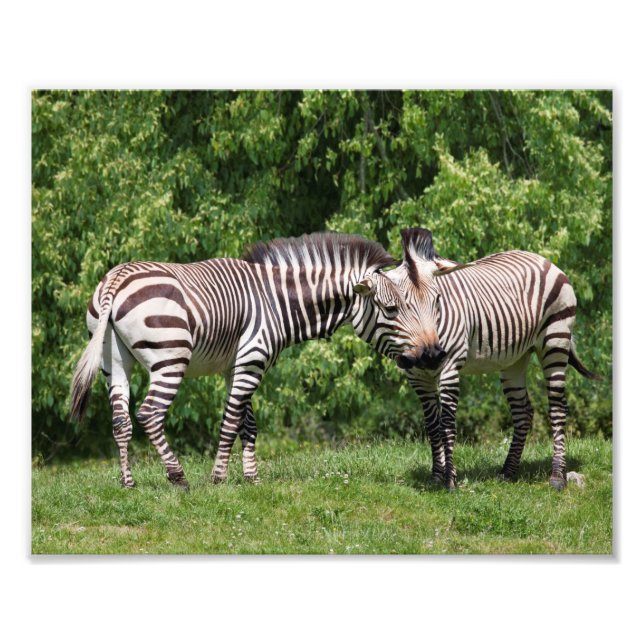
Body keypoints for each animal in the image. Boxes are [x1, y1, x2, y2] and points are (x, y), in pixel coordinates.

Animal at [70, 232, 438, 489]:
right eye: (392, 309)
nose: (430, 354)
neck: (278, 300)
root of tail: (116, 279)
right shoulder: (252, 359)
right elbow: (231, 420)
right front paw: (218, 478)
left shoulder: (238, 364)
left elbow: (248, 423)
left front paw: (251, 478)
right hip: (170, 358)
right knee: (149, 414)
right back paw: (178, 477)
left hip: (114, 362)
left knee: (121, 420)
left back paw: (128, 482)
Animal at [387, 227, 600, 490]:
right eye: (398, 307)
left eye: (437, 300)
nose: (430, 356)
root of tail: (543, 260)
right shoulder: (417, 376)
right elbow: (432, 424)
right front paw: (436, 477)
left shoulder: (450, 365)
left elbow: (446, 423)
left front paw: (449, 480)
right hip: (515, 359)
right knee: (523, 411)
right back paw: (508, 472)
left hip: (555, 339)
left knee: (558, 407)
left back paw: (558, 475)